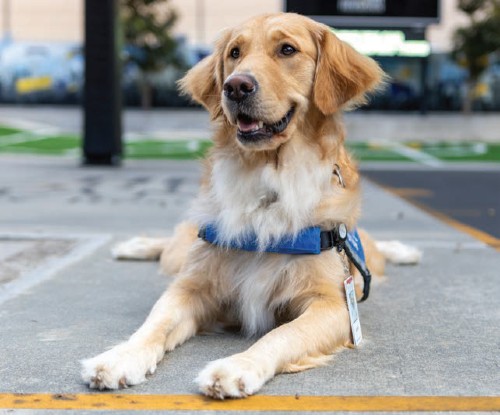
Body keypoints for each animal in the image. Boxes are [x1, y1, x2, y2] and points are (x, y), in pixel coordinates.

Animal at [80, 13, 420, 400]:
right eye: (234, 53)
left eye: (287, 49)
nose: (236, 86)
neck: (267, 177)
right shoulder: (191, 285)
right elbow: (155, 323)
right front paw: (118, 358)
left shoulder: (332, 303)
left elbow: (282, 334)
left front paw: (236, 367)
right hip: (181, 255)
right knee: (172, 245)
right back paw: (135, 245)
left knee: (373, 251)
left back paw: (404, 249)